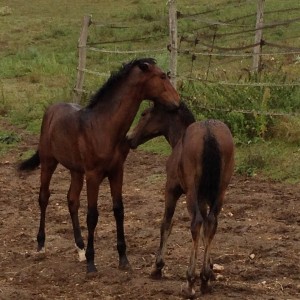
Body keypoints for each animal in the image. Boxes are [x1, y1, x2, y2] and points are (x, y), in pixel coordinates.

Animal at [17, 58, 179, 274]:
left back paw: (80, 249)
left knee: (72, 200)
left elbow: (119, 210)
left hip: (76, 170)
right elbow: (92, 215)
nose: (177, 103)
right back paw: (42, 246)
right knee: (44, 197)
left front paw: (123, 259)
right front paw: (91, 263)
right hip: (48, 162)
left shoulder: (117, 171)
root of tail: (51, 110)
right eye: (161, 76)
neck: (104, 127)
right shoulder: (93, 175)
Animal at [126, 101, 234, 298]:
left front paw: (157, 267)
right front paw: (210, 269)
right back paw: (204, 279)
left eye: (144, 114)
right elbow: (206, 231)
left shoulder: (171, 190)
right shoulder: (203, 199)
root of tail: (209, 134)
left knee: (196, 223)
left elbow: (166, 224)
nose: (129, 138)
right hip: (220, 192)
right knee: (211, 223)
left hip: (190, 192)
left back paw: (190, 281)